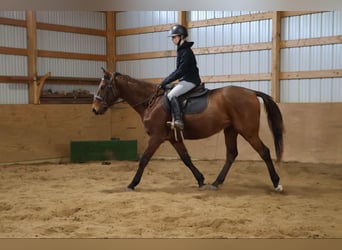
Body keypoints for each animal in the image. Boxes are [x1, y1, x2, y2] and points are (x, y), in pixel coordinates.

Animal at [92, 67, 284, 192]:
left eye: (102, 87)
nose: (94, 109)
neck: (151, 102)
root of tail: (251, 92)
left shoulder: (156, 137)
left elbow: (144, 159)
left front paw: (132, 184)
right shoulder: (173, 138)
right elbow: (186, 158)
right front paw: (200, 180)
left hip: (248, 131)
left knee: (264, 152)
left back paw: (276, 183)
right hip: (231, 130)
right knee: (231, 154)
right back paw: (216, 182)